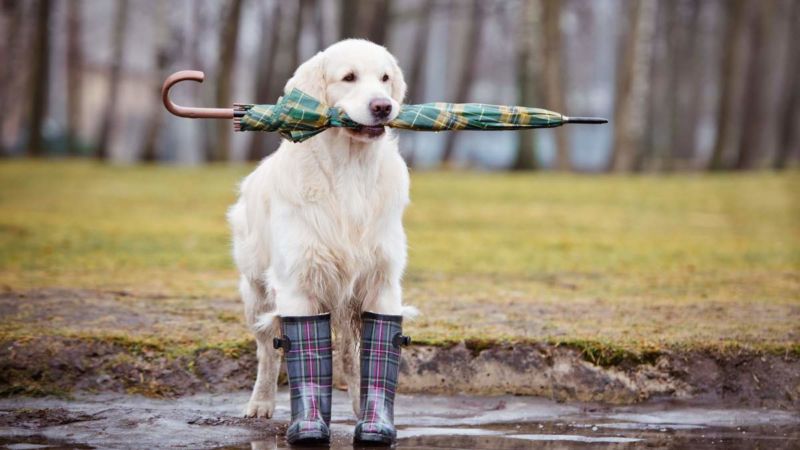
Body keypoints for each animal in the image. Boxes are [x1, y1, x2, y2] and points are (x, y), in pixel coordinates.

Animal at [225, 38, 412, 418]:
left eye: (385, 78)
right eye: (349, 77)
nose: (383, 106)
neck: (351, 171)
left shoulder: (381, 282)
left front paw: (372, 415)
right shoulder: (298, 284)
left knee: (349, 355)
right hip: (256, 291)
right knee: (267, 351)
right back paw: (261, 402)